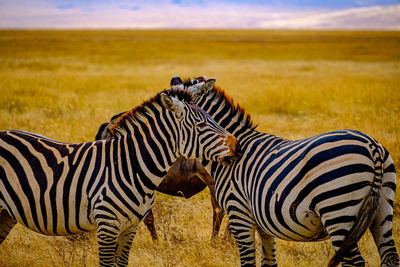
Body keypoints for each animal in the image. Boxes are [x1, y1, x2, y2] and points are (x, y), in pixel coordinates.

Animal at [0, 87, 239, 266]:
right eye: (201, 125)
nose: (237, 146)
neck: (128, 165)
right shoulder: (107, 226)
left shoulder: (129, 228)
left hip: (5, 214)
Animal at [176, 76, 400, 267]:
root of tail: (372, 146)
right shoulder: (262, 222)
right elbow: (268, 260)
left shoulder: (239, 212)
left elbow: (248, 261)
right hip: (382, 206)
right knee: (389, 256)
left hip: (338, 209)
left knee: (355, 261)